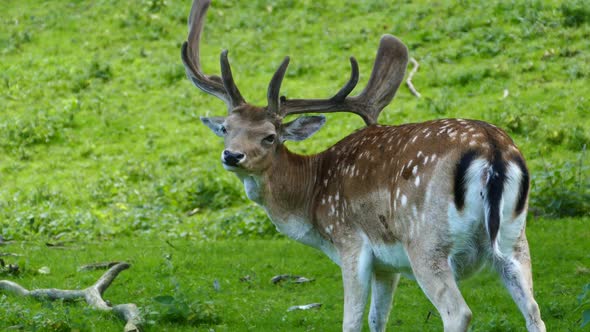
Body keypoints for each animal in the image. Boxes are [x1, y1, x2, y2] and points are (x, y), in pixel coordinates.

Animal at [179, 1, 544, 330]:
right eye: (226, 128)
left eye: (270, 136)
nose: (232, 156)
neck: (311, 201)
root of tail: (492, 149)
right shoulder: (387, 265)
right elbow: (376, 318)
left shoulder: (350, 242)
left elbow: (352, 320)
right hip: (514, 238)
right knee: (533, 310)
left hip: (426, 240)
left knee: (459, 313)